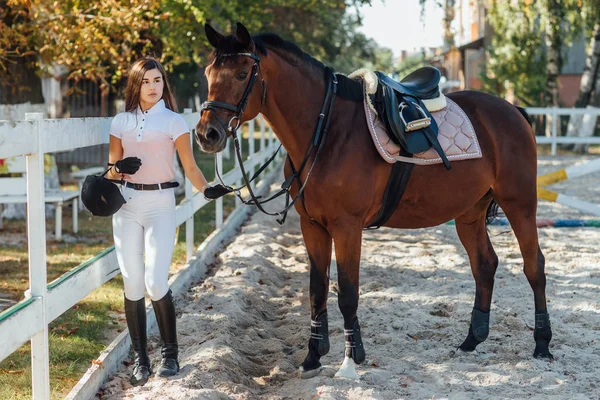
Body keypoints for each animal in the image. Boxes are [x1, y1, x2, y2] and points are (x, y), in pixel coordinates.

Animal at [196, 21, 552, 378]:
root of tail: (512, 110)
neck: (328, 131)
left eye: (242, 74)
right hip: (469, 213)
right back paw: (471, 340)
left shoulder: (347, 227)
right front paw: (313, 357)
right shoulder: (312, 226)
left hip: (520, 204)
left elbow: (347, 293)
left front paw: (350, 360)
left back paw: (542, 344)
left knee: (534, 266)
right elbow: (316, 290)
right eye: (208, 73)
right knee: (485, 265)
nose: (206, 134)